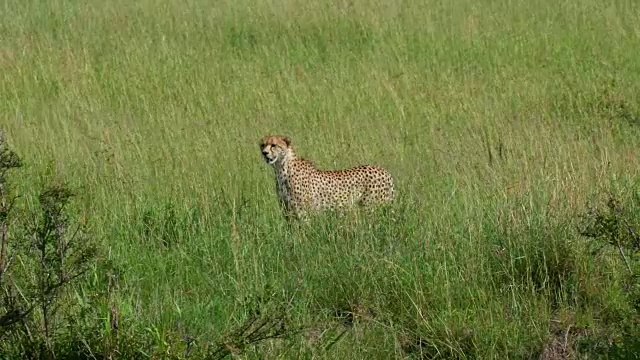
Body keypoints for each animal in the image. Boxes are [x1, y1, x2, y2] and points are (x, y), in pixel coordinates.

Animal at [260, 136, 396, 218]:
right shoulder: (287, 211)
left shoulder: (303, 212)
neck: (281, 168)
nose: (264, 153)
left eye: (273, 145)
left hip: (371, 208)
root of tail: (384, 170)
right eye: (262, 145)